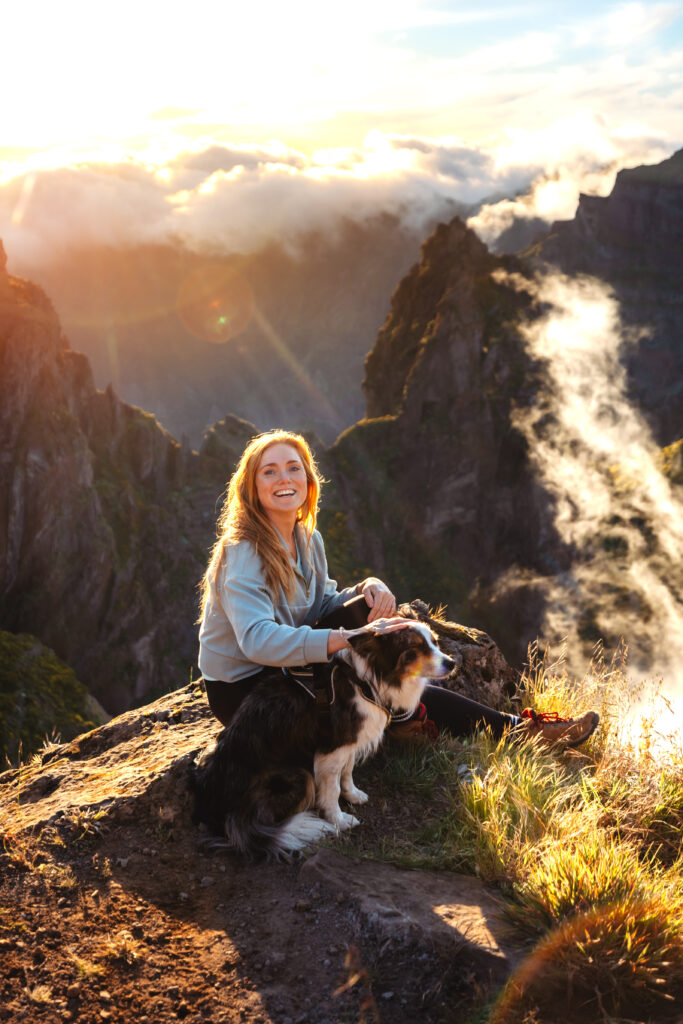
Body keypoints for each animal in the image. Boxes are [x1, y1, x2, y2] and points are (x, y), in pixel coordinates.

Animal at [191, 618, 454, 860]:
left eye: (434, 642)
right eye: (414, 648)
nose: (452, 663)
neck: (364, 680)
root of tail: (224, 815)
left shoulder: (348, 742)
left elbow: (347, 772)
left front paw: (353, 795)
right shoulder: (331, 748)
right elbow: (332, 788)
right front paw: (339, 819)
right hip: (298, 775)